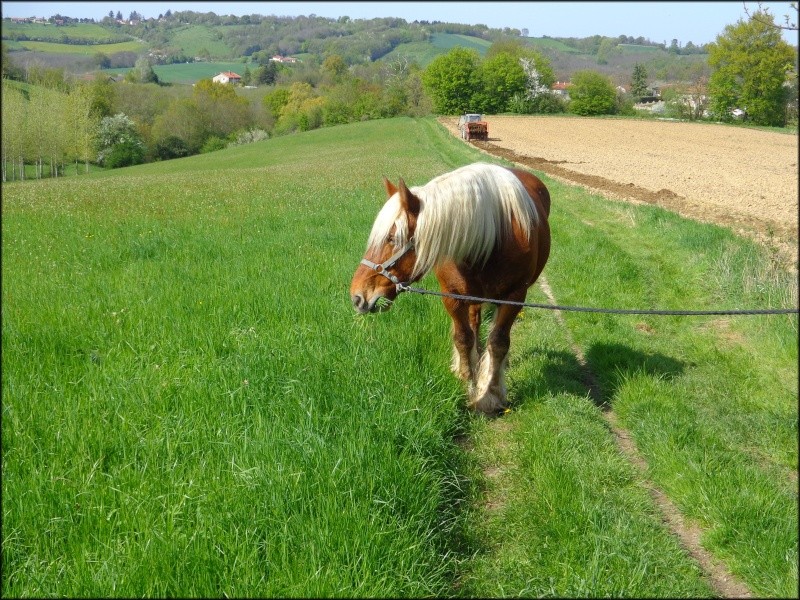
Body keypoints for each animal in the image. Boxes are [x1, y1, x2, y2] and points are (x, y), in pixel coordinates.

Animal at [350, 163, 552, 418]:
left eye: (392, 238)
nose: (357, 296)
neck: (494, 235)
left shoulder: (514, 297)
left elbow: (498, 342)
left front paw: (490, 395)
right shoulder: (452, 296)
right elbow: (462, 338)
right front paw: (467, 382)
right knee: (474, 322)